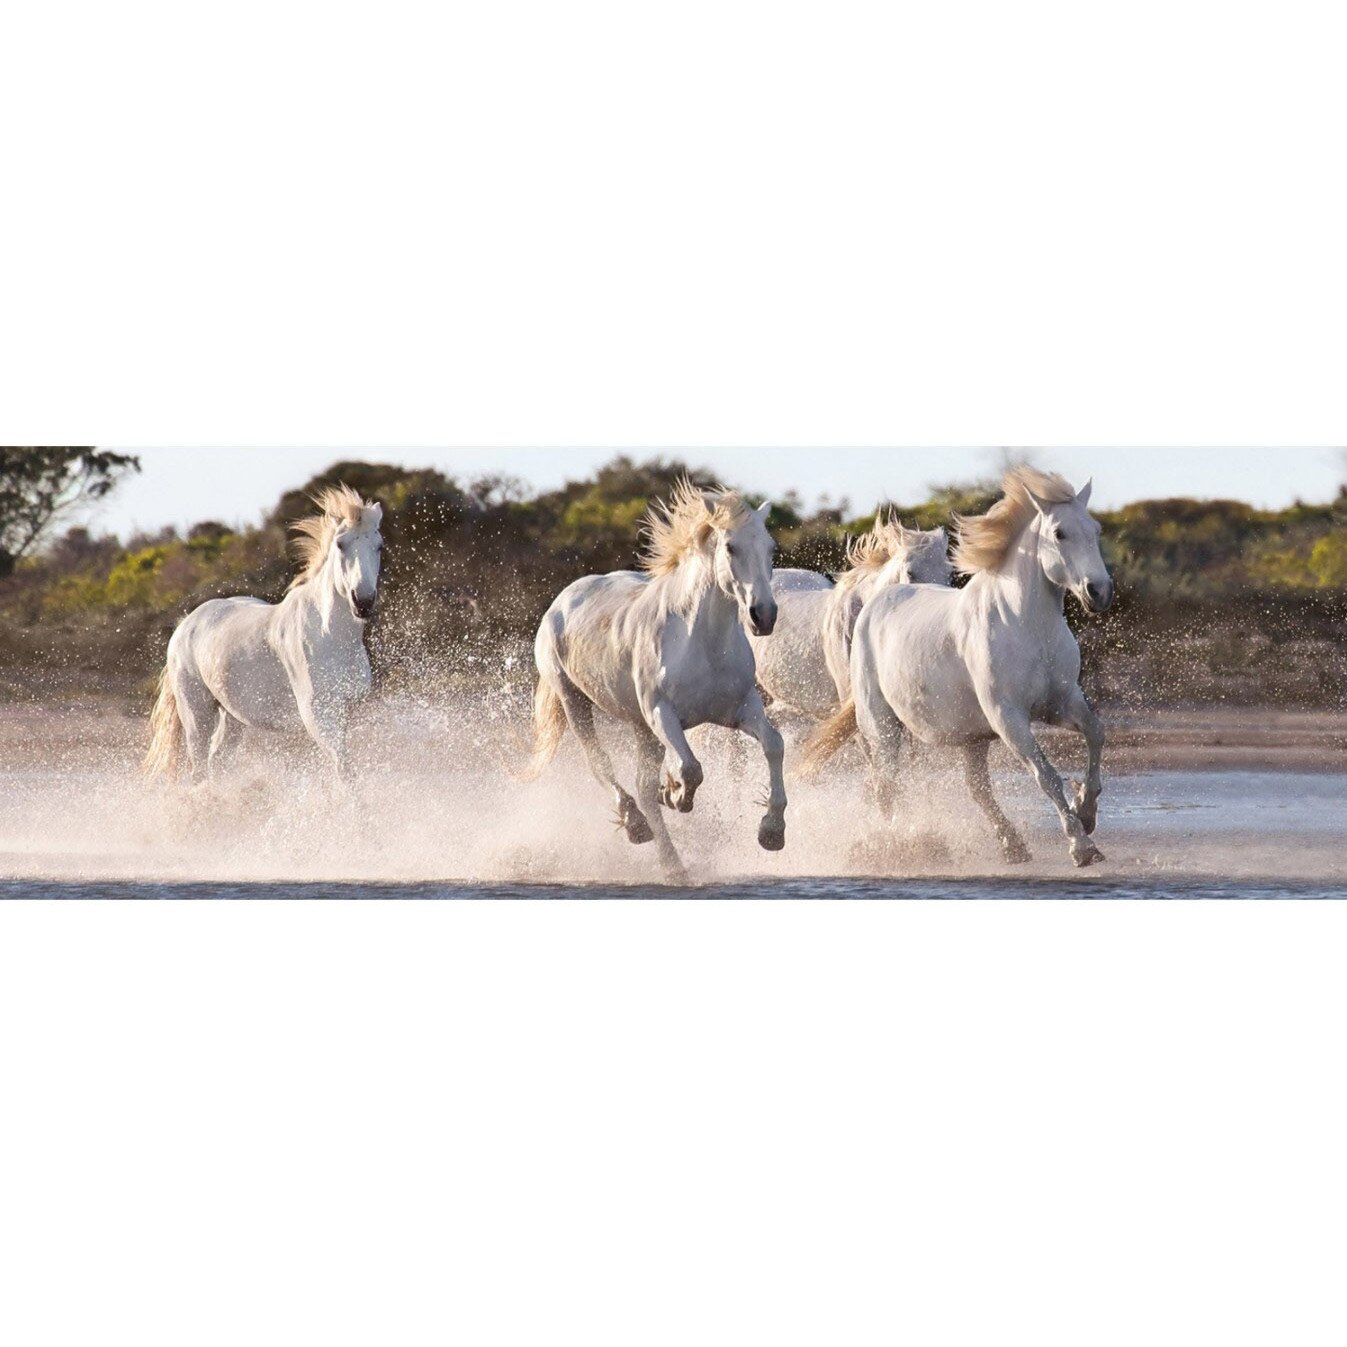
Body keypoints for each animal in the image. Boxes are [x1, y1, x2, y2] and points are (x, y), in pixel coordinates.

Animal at [144, 484, 384, 782]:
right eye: (340, 544)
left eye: (379, 546)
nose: (363, 602)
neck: (331, 637)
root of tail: (185, 623)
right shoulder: (317, 714)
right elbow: (343, 767)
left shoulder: (346, 709)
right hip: (197, 713)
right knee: (199, 767)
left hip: (232, 716)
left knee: (217, 762)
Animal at [524, 478, 785, 880]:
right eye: (730, 546)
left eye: (771, 548)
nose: (764, 615)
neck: (702, 643)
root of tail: (562, 601)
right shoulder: (662, 713)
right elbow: (691, 769)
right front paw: (676, 794)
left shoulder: (741, 709)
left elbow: (774, 744)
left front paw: (772, 831)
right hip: (574, 701)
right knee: (601, 765)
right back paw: (639, 829)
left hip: (640, 726)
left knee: (643, 786)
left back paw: (671, 862)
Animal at [801, 467, 1112, 869]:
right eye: (1059, 533)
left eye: (1095, 529)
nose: (1099, 591)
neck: (1027, 626)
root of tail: (876, 601)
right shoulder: (1008, 716)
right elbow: (1046, 775)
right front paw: (1081, 846)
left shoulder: (1060, 703)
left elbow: (1095, 734)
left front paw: (1086, 811)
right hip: (882, 726)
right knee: (885, 785)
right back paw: (898, 847)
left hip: (973, 736)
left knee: (974, 787)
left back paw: (1012, 845)